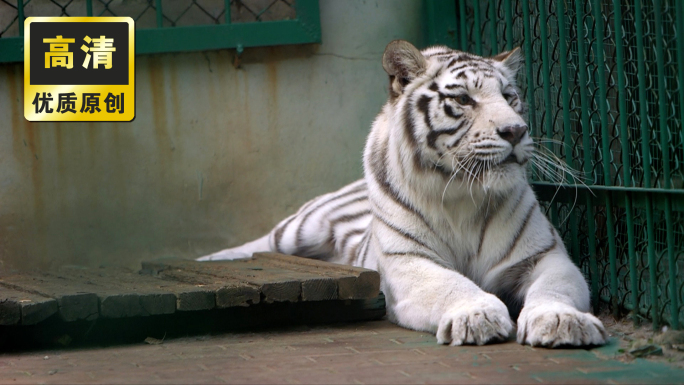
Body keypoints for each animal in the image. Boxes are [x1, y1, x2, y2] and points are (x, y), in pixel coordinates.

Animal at [200, 40, 608, 346]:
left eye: (510, 97)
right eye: (463, 99)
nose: (516, 130)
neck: (463, 195)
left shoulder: (544, 256)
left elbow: (554, 288)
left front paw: (562, 321)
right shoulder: (408, 260)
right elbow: (450, 284)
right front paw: (476, 315)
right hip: (303, 227)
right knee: (262, 241)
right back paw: (211, 261)